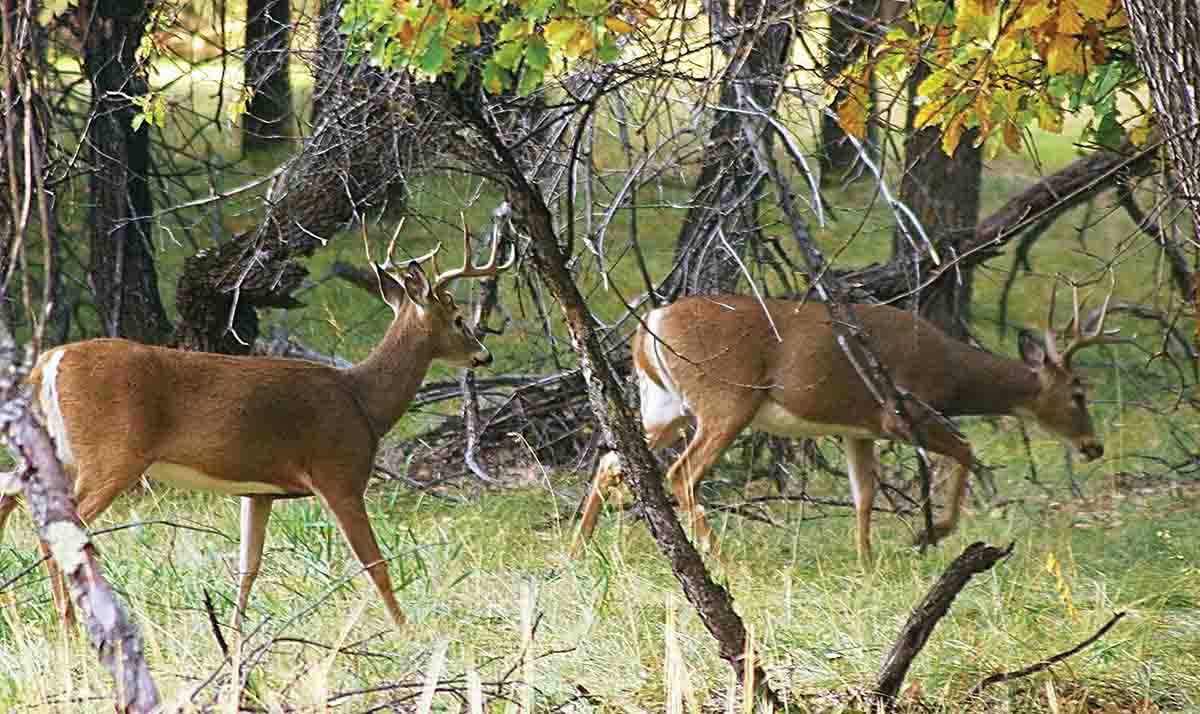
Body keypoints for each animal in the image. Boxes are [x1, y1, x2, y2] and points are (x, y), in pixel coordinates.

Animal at [0, 222, 511, 633]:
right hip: (111, 454)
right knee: (57, 525)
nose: (484, 355)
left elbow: (248, 566)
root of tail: (48, 362)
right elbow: (374, 563)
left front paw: (235, 635)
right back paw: (70, 626)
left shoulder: (258, 490)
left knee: (13, 493)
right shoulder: (338, 473)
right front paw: (406, 631)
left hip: (58, 449)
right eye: (459, 318)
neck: (362, 400)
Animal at [566, 290, 1118, 564]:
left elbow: (864, 493)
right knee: (681, 474)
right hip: (725, 399)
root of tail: (651, 324)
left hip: (665, 404)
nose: (1094, 446)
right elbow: (964, 448)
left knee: (612, 457)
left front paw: (867, 560)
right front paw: (930, 534)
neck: (952, 372)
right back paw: (724, 565)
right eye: (1078, 393)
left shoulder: (858, 429)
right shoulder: (900, 410)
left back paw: (575, 552)